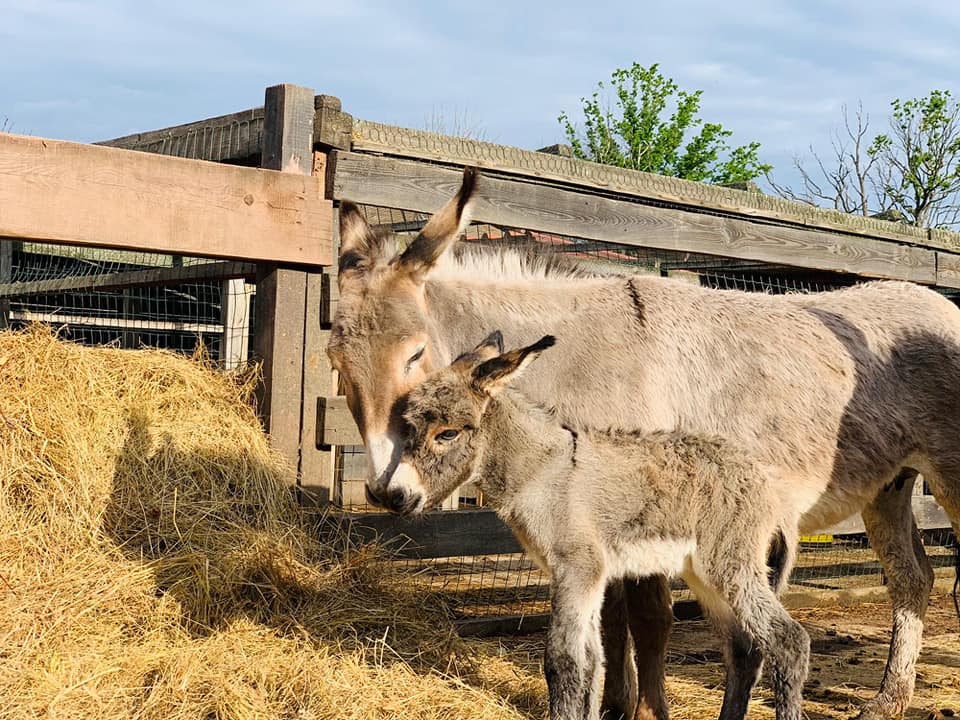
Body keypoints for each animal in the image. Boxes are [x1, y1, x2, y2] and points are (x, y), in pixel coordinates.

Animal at [390, 332, 808, 720]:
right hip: (705, 574)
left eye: (447, 433)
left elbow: (563, 662)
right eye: (408, 427)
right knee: (744, 649)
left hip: (730, 565)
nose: (395, 496)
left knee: (789, 641)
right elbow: (591, 664)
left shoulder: (577, 568)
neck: (543, 471)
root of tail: (768, 484)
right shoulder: (583, 575)